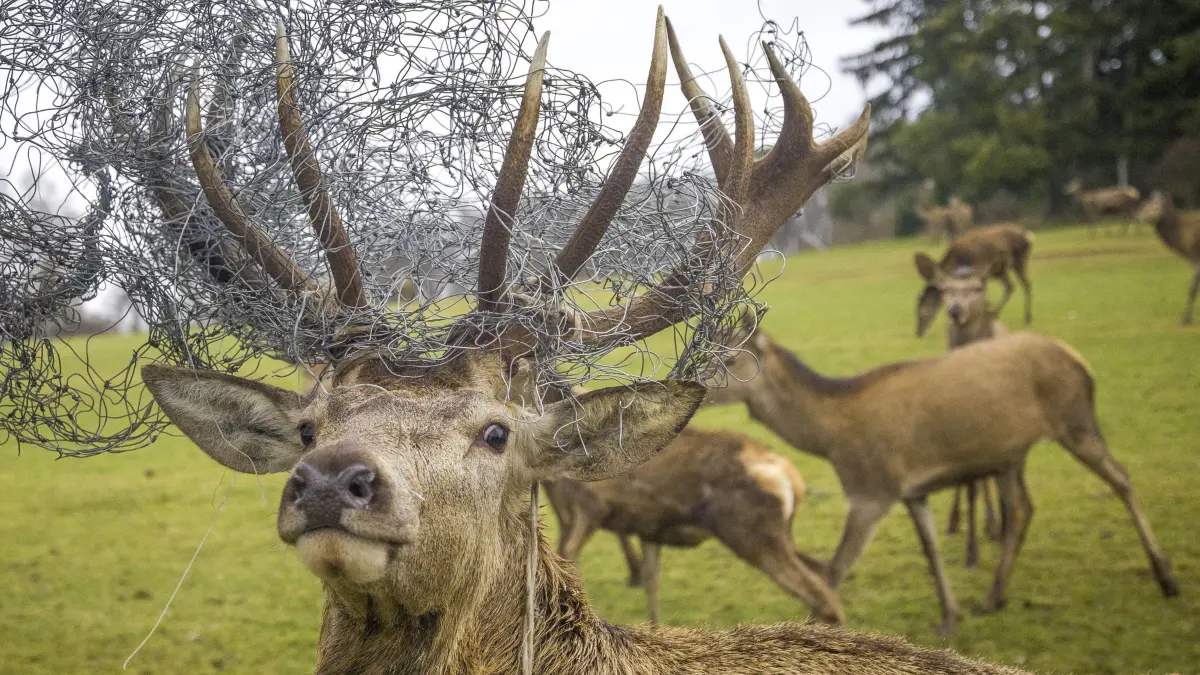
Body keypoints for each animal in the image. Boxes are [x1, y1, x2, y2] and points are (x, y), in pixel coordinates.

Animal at [543, 424, 835, 626]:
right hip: (780, 533)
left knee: (819, 594)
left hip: (750, 534)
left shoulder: (586, 510)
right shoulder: (647, 529)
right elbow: (651, 585)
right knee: (821, 571)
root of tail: (792, 478)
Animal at [703, 311, 1179, 635]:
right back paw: (993, 597)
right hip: (1012, 453)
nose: (694, 384)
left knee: (1121, 478)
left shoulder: (872, 489)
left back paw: (1166, 577)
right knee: (1023, 510)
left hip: (1075, 420)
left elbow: (834, 570)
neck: (832, 438)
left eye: (730, 359)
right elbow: (930, 549)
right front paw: (951, 615)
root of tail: (1080, 360)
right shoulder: (912, 491)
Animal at [1137, 190, 1200, 325]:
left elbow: (1192, 289)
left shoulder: (1196, 258)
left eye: (1156, 207)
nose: (1138, 217)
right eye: (1145, 204)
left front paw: (1185, 320)